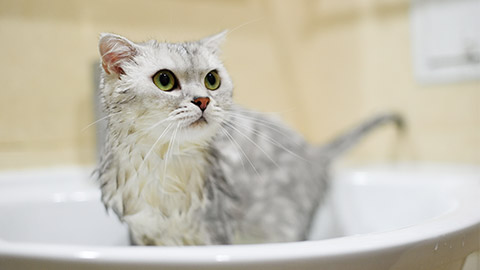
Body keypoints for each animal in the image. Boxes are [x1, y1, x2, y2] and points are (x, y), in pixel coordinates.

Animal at [95, 31, 404, 247]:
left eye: (211, 80)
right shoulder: (141, 236)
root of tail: (314, 152)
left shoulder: (216, 232)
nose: (203, 100)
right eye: (164, 80)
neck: (163, 164)